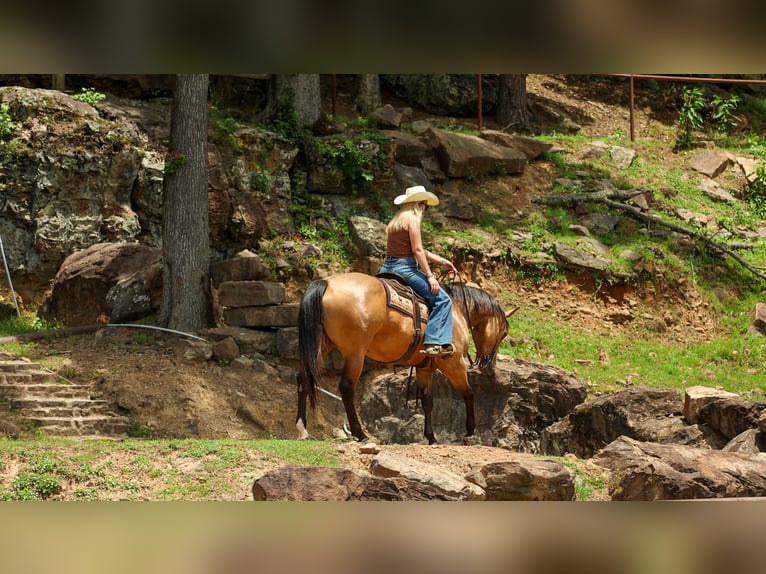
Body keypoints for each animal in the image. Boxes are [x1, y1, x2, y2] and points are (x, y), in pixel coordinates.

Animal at [295, 272, 510, 444]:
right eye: (504, 333)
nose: (489, 366)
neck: (457, 312)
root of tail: (326, 283)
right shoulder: (454, 363)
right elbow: (469, 393)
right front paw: (470, 431)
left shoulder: (424, 368)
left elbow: (427, 402)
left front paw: (431, 438)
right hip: (355, 353)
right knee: (346, 388)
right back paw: (360, 434)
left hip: (321, 346)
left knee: (303, 379)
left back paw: (302, 429)